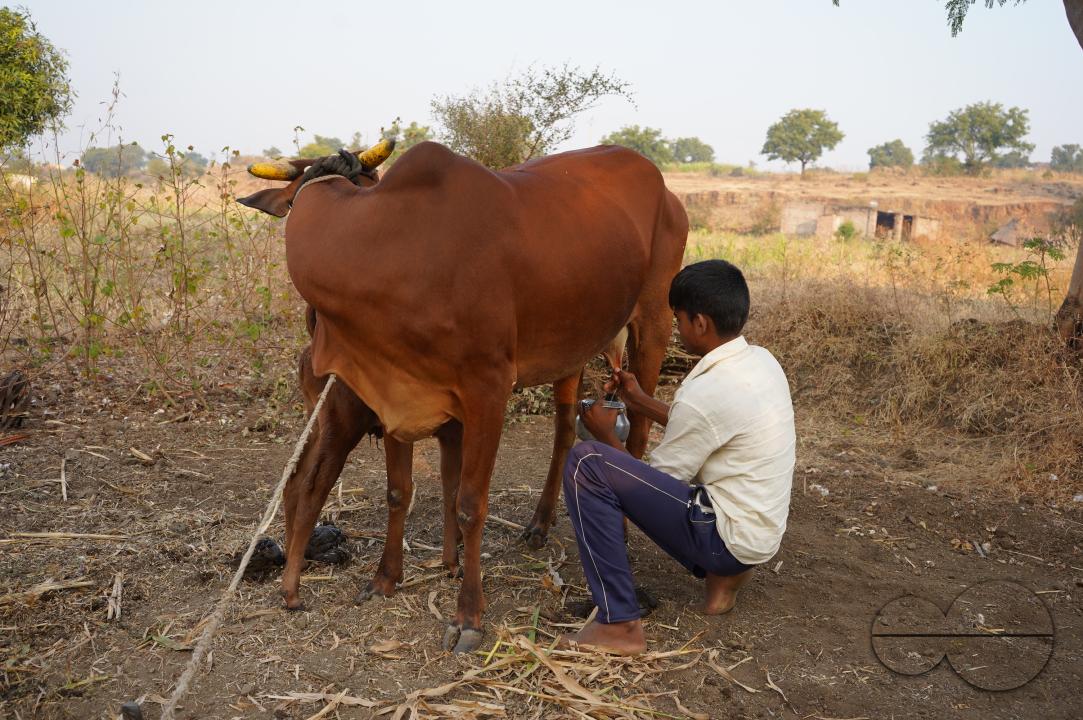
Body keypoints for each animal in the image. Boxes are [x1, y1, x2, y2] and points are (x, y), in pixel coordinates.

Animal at [238, 138, 687, 652]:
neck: (386, 249)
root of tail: (661, 184)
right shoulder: (394, 390)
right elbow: (399, 491)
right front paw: (385, 579)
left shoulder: (487, 388)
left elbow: (471, 504)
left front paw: (469, 614)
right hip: (572, 342)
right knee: (563, 431)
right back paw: (539, 523)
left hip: (654, 320)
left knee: (638, 432)